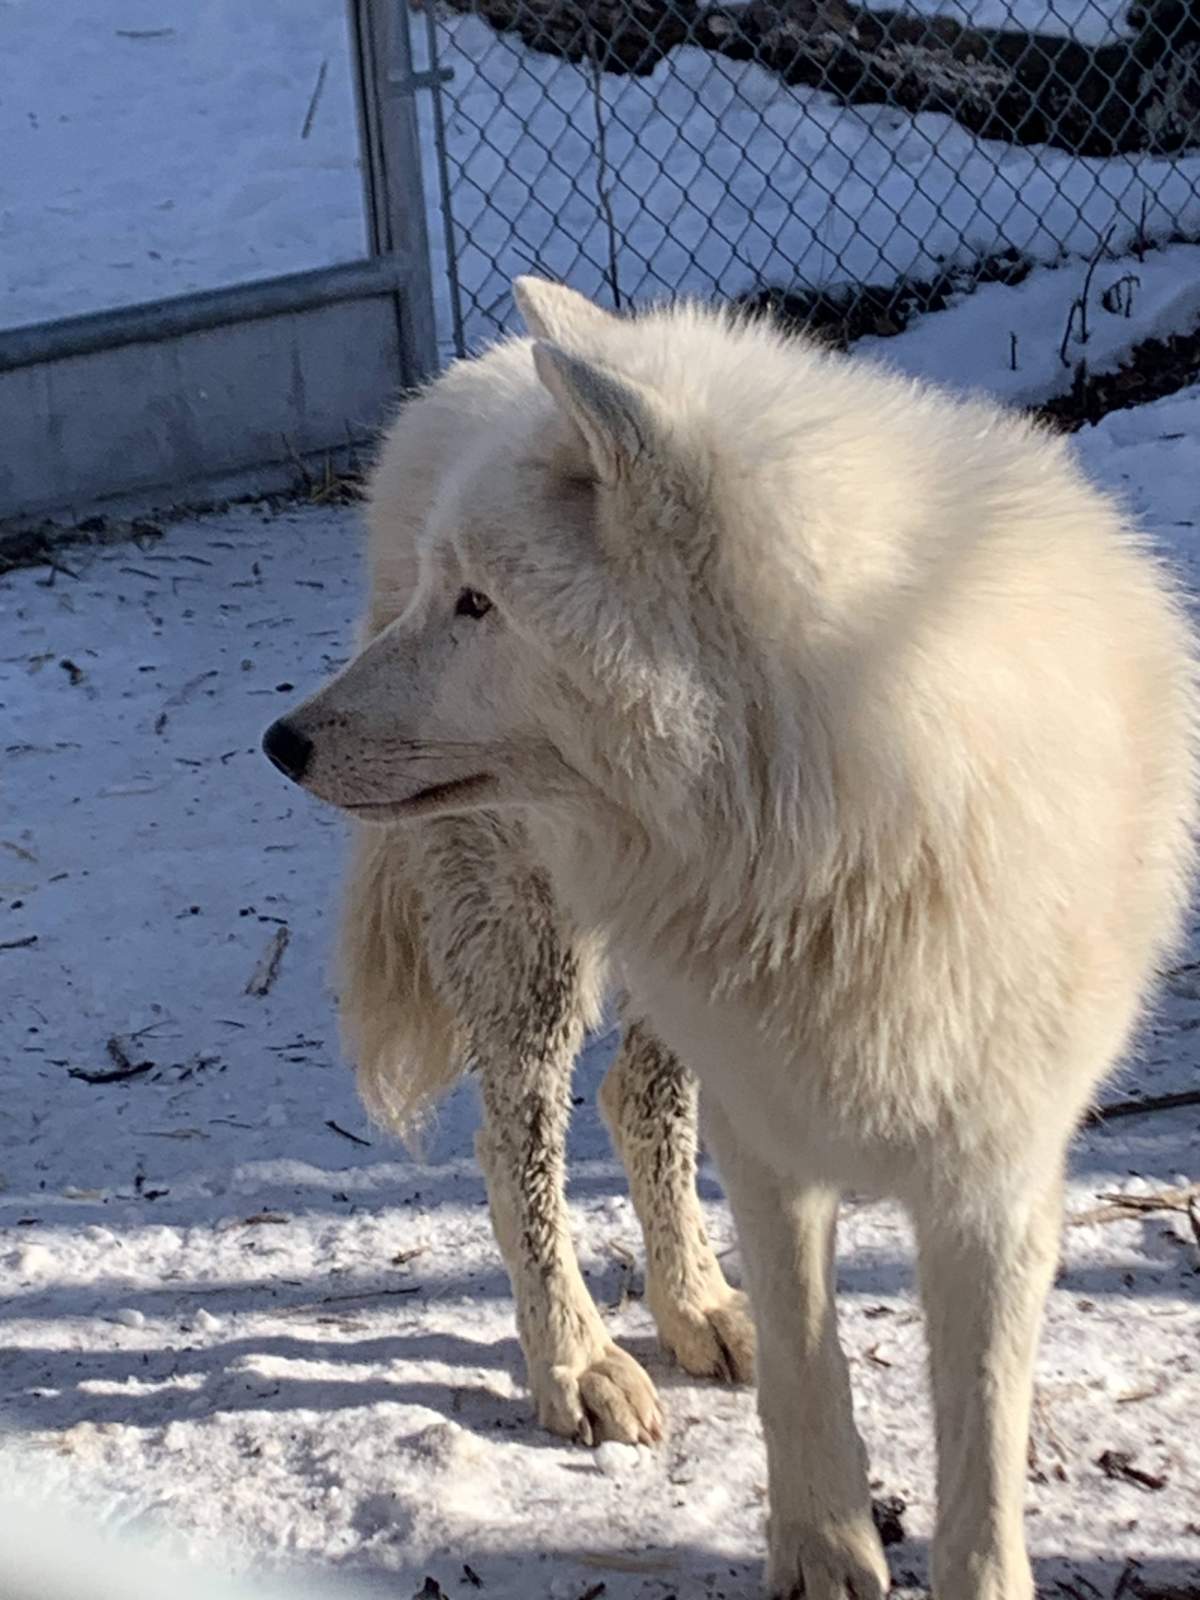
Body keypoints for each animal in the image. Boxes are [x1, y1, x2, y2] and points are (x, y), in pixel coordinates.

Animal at [264, 278, 1197, 1600]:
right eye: (446, 591)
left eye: (478, 603)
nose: (281, 741)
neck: (853, 799)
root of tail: (468, 369)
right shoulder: (772, 1136)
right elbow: (811, 1370)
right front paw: (824, 1556)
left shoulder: (999, 1170)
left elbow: (981, 1443)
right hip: (533, 946)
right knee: (519, 1143)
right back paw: (579, 1365)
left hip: (671, 983)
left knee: (634, 1103)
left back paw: (699, 1308)